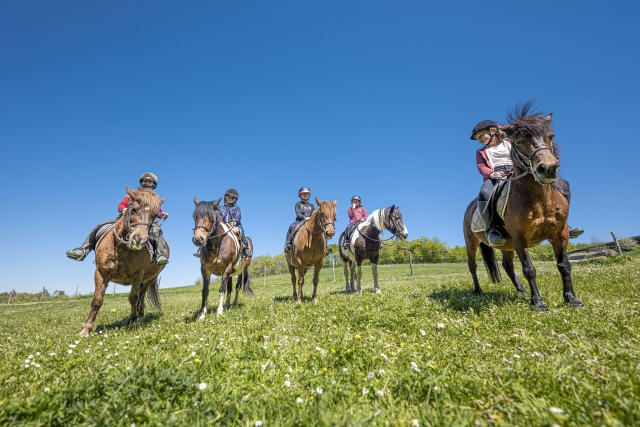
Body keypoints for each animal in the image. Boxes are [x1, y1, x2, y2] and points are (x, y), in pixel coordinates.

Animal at [79, 187, 168, 336]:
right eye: (134, 210)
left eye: (155, 215)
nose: (139, 239)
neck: (121, 249)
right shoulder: (100, 273)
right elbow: (97, 300)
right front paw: (86, 329)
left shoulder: (138, 276)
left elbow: (133, 298)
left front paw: (133, 322)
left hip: (150, 279)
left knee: (141, 295)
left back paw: (139, 316)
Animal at [462, 102, 583, 311]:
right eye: (518, 141)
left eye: (550, 136)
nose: (548, 168)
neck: (539, 200)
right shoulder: (520, 237)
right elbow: (529, 269)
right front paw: (538, 304)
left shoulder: (560, 234)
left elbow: (564, 266)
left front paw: (572, 299)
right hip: (472, 241)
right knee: (473, 265)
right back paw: (478, 291)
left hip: (506, 244)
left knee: (507, 265)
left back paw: (522, 290)